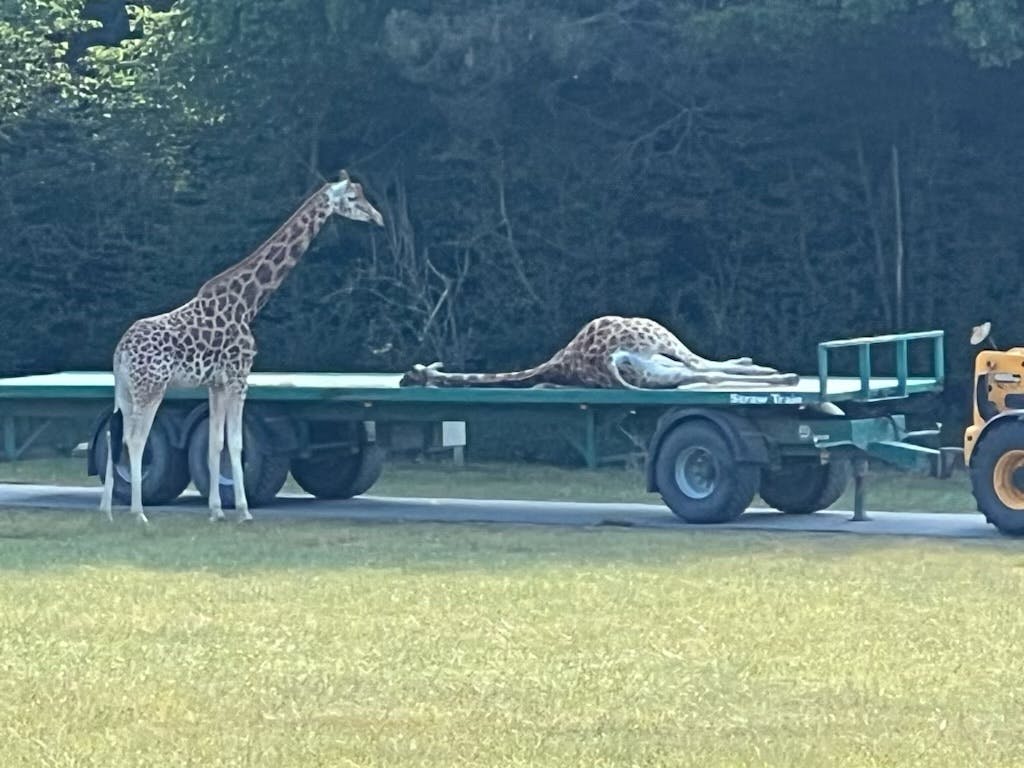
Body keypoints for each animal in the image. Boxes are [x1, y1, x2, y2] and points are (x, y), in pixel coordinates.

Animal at [100, 171, 385, 528]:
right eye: (352, 199)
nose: (378, 217)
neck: (247, 304)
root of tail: (121, 350)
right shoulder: (239, 377)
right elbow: (235, 444)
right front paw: (244, 511)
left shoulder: (216, 383)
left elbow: (215, 444)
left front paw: (217, 511)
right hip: (151, 388)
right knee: (136, 439)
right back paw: (138, 513)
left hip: (124, 390)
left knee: (115, 435)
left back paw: (107, 511)